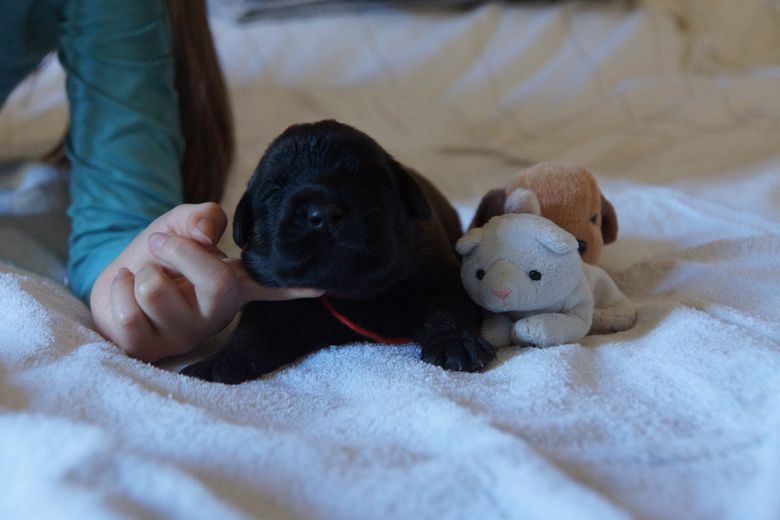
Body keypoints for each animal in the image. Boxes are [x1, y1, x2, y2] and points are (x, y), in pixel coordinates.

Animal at [183, 120, 494, 384]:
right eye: (274, 190)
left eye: (369, 180)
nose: (323, 212)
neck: (348, 296)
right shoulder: (271, 300)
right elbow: (252, 332)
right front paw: (216, 364)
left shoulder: (438, 273)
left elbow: (446, 306)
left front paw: (455, 343)